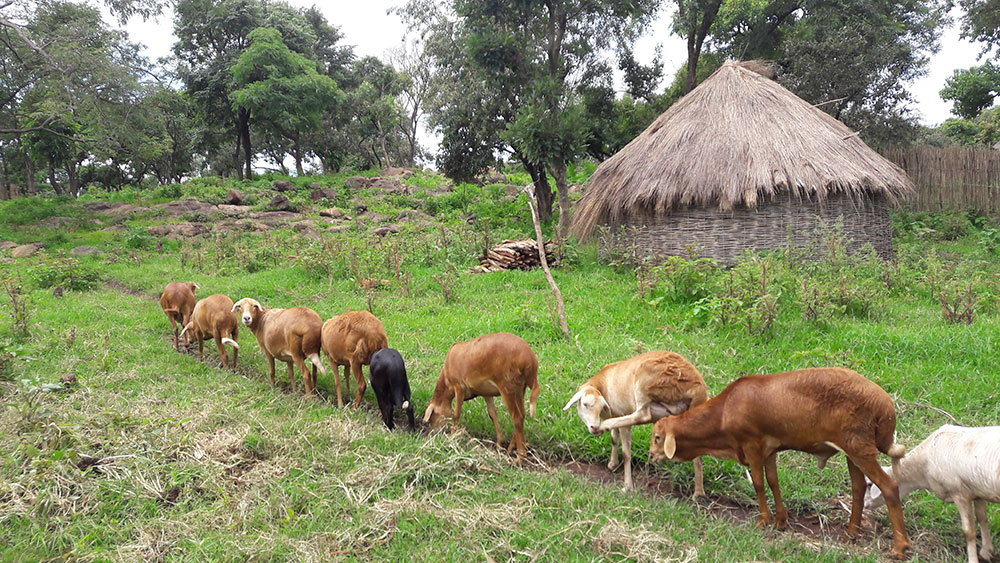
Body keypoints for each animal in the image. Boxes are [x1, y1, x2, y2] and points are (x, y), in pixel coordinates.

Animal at [422, 332, 540, 460]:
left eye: (432, 415)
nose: (434, 433)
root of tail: (529, 359)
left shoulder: (459, 387)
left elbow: (456, 414)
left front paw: (452, 436)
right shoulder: (486, 393)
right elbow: (492, 414)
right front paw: (499, 444)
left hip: (507, 388)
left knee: (517, 418)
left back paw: (521, 456)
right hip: (520, 389)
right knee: (522, 415)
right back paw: (510, 449)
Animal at [564, 352, 712, 494]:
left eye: (599, 406)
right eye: (585, 404)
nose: (595, 427)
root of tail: (697, 388)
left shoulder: (621, 414)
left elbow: (626, 453)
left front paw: (627, 486)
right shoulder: (615, 413)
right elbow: (614, 438)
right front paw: (612, 464)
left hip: (645, 382)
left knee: (642, 415)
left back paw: (607, 424)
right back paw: (698, 493)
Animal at [648, 370, 916, 560]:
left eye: (657, 437)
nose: (650, 455)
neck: (723, 414)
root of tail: (885, 406)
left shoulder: (752, 444)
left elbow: (758, 484)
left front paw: (763, 521)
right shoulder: (769, 449)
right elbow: (773, 482)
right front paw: (781, 520)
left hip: (859, 446)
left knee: (889, 487)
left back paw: (900, 547)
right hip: (853, 449)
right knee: (858, 488)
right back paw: (851, 532)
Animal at [864, 424, 996, 563]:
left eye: (868, 484)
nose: (864, 506)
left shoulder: (959, 494)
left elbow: (968, 531)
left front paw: (973, 558)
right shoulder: (977, 492)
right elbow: (982, 518)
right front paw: (987, 551)